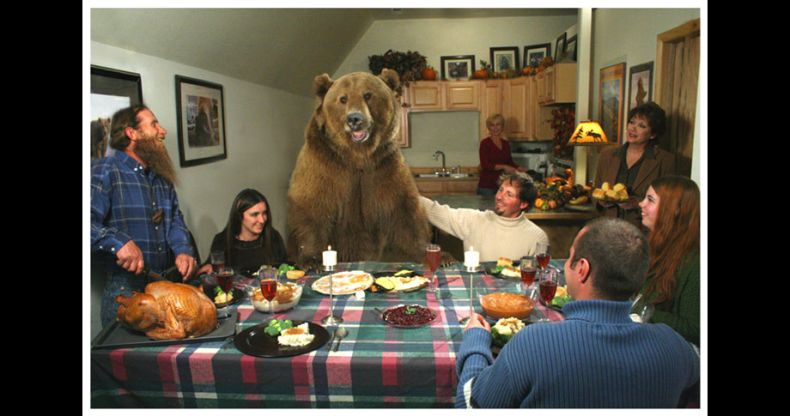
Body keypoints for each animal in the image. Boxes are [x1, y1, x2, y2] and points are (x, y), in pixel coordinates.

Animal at [288, 69, 430, 262]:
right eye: (343, 98)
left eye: (368, 95)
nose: (354, 119)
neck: (357, 155)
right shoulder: (324, 163)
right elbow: (313, 204)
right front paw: (312, 259)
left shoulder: (383, 165)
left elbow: (402, 207)